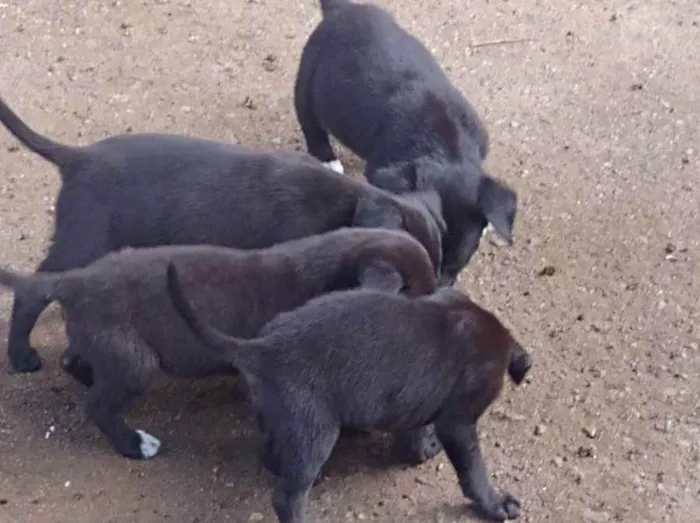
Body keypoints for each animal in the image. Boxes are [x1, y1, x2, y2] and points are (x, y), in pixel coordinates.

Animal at [0, 229, 438, 462]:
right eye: (418, 295)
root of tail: (74, 280)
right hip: (134, 362)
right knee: (99, 407)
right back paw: (134, 444)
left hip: (106, 345)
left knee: (74, 361)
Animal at [168, 270, 532, 520]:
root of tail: (260, 349)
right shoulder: (459, 422)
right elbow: (473, 471)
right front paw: (495, 504)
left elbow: (412, 429)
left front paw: (419, 449)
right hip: (316, 431)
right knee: (285, 498)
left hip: (285, 421)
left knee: (270, 455)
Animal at [292, 0, 516, 286]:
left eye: (455, 268)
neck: (446, 149)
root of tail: (342, 10)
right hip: (307, 82)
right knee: (311, 124)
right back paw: (326, 159)